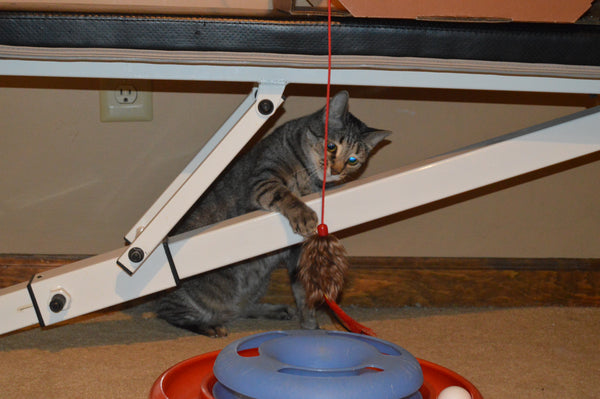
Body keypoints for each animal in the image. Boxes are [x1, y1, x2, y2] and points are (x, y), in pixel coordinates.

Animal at [156, 90, 390, 338]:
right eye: (331, 147)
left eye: (353, 160)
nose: (336, 171)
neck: (312, 182)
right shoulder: (263, 180)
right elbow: (286, 194)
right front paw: (304, 213)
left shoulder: (299, 252)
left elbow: (302, 291)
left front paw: (310, 325)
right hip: (188, 300)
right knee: (172, 314)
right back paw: (209, 325)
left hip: (255, 287)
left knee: (241, 309)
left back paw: (274, 310)